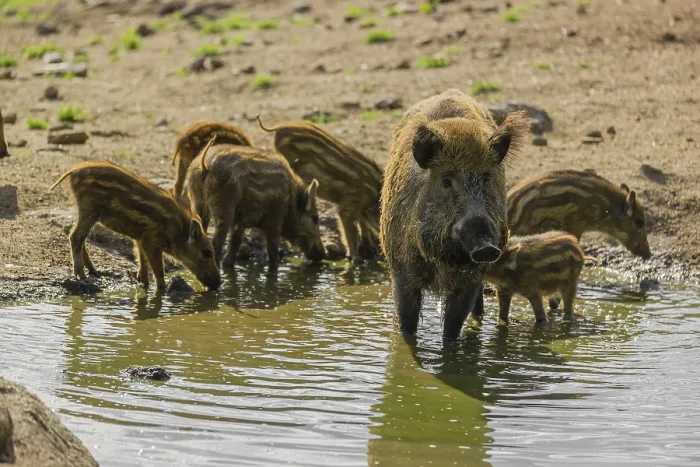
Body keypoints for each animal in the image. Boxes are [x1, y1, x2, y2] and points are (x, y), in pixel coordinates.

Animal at [50, 161, 221, 291]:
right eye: (206, 252)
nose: (218, 284)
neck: (178, 231)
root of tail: (74, 170)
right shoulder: (151, 241)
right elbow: (158, 270)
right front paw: (162, 290)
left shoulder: (140, 238)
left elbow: (142, 261)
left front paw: (143, 284)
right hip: (89, 209)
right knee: (75, 236)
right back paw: (82, 276)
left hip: (89, 212)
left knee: (80, 237)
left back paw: (94, 272)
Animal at [184, 138, 326, 272]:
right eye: (315, 218)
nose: (323, 254)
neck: (291, 201)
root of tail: (204, 165)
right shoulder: (274, 220)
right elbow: (272, 253)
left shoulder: (240, 221)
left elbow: (234, 245)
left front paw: (228, 265)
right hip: (223, 206)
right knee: (216, 243)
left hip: (197, 202)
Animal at [256, 116, 383, 262]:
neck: (374, 193)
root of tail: (279, 127)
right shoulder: (349, 205)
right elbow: (350, 232)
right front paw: (355, 258)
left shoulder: (359, 208)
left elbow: (363, 225)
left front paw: (370, 251)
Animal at [380, 88, 528, 340]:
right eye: (446, 181)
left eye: (486, 178)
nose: (486, 247)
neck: (445, 258)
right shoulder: (402, 268)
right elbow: (407, 323)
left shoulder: (469, 279)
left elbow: (453, 326)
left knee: (478, 305)